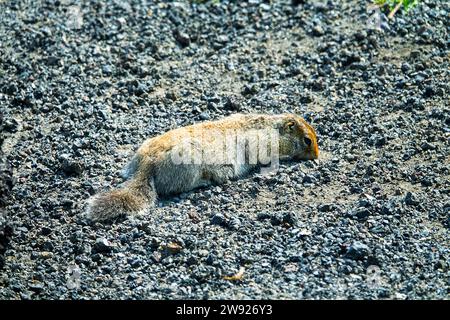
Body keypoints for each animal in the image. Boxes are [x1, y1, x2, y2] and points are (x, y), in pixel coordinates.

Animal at [87, 114, 320, 221]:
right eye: (307, 140)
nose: (317, 157)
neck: (272, 126)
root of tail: (146, 164)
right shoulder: (264, 142)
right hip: (189, 168)